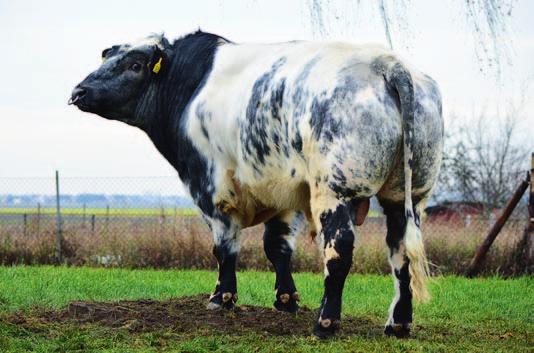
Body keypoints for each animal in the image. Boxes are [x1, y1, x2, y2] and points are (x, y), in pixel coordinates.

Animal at [72, 31, 448, 336]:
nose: (79, 90)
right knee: (402, 253)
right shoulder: (281, 189)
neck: (191, 87)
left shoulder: (212, 187)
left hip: (335, 189)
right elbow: (277, 246)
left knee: (339, 251)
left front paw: (221, 297)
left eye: (135, 65)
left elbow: (224, 247)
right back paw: (398, 324)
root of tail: (387, 62)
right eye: (107, 58)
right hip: (408, 196)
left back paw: (326, 323)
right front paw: (286, 299)